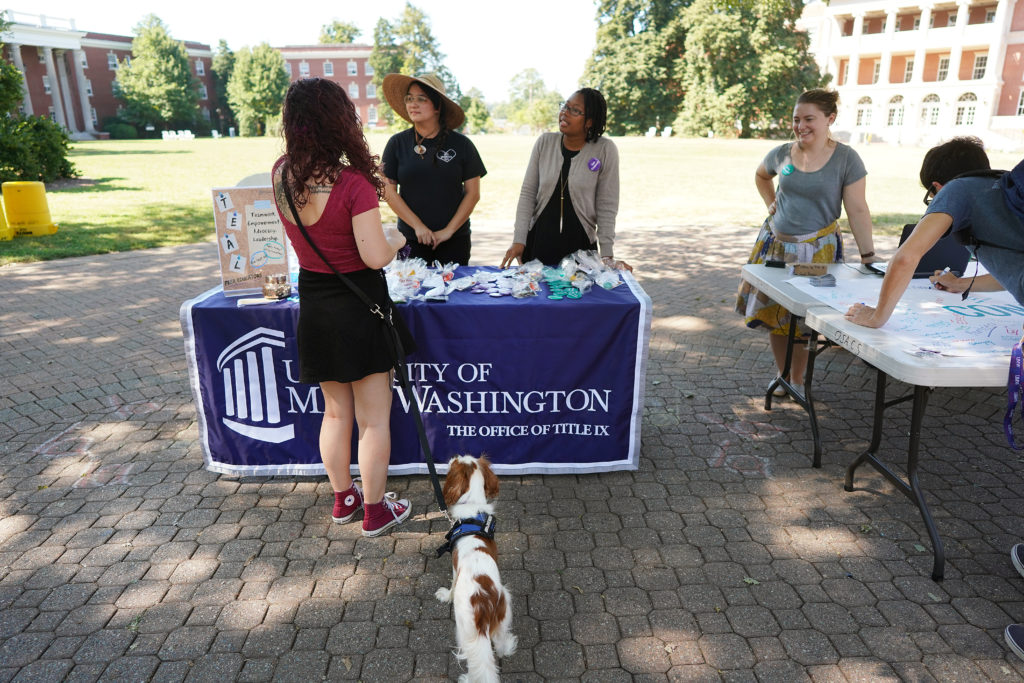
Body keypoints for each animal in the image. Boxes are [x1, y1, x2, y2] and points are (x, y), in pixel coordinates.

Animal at [434, 456, 516, 679]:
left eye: (457, 460)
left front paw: (445, 595)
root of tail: (484, 602)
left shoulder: (455, 567)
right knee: (499, 644)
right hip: (504, 611)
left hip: (467, 631)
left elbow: (452, 585)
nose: (451, 457)